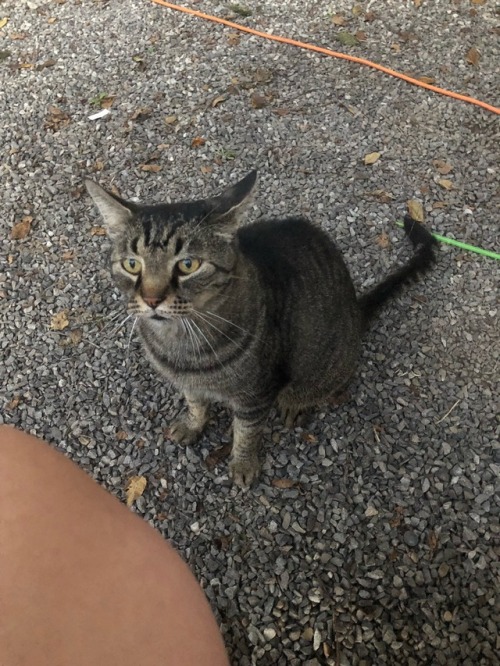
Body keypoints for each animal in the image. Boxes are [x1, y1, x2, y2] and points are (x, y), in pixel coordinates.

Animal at [87, 169, 438, 486]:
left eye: (188, 265)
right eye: (132, 264)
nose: (151, 299)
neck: (182, 345)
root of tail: (355, 307)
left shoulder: (256, 395)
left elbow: (247, 432)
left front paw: (243, 464)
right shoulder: (188, 382)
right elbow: (196, 404)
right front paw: (192, 424)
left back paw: (296, 402)